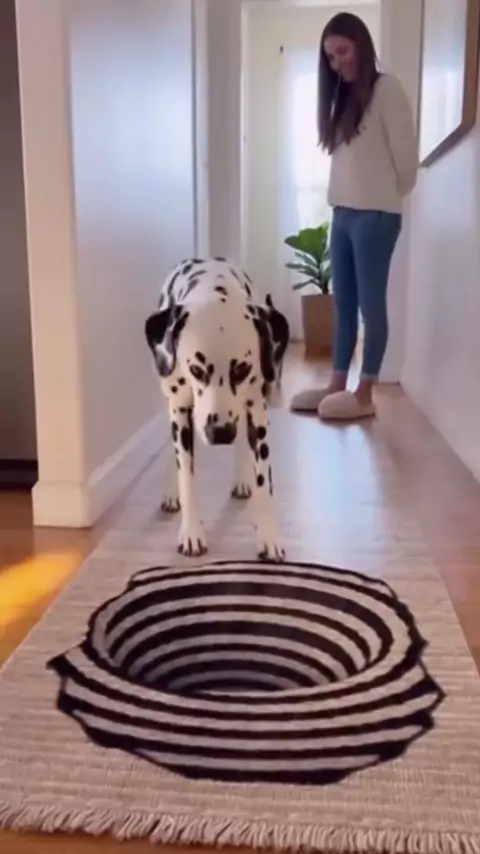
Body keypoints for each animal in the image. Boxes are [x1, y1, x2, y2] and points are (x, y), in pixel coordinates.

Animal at [145, 256, 289, 562]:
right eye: (196, 369)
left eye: (242, 369)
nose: (220, 432)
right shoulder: (181, 413)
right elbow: (186, 475)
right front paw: (191, 533)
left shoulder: (257, 414)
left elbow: (265, 482)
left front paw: (269, 537)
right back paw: (170, 494)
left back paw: (242, 481)